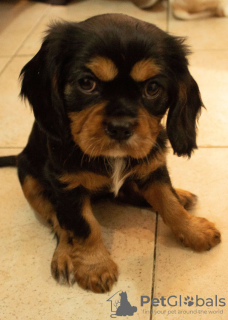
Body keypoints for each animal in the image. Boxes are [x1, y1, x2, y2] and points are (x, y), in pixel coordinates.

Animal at [0, 13, 221, 292]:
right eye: (86, 83)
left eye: (152, 88)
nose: (120, 128)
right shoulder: (67, 185)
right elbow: (83, 226)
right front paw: (95, 266)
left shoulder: (154, 167)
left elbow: (168, 202)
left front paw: (194, 230)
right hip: (29, 179)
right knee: (57, 221)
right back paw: (65, 256)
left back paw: (181, 195)